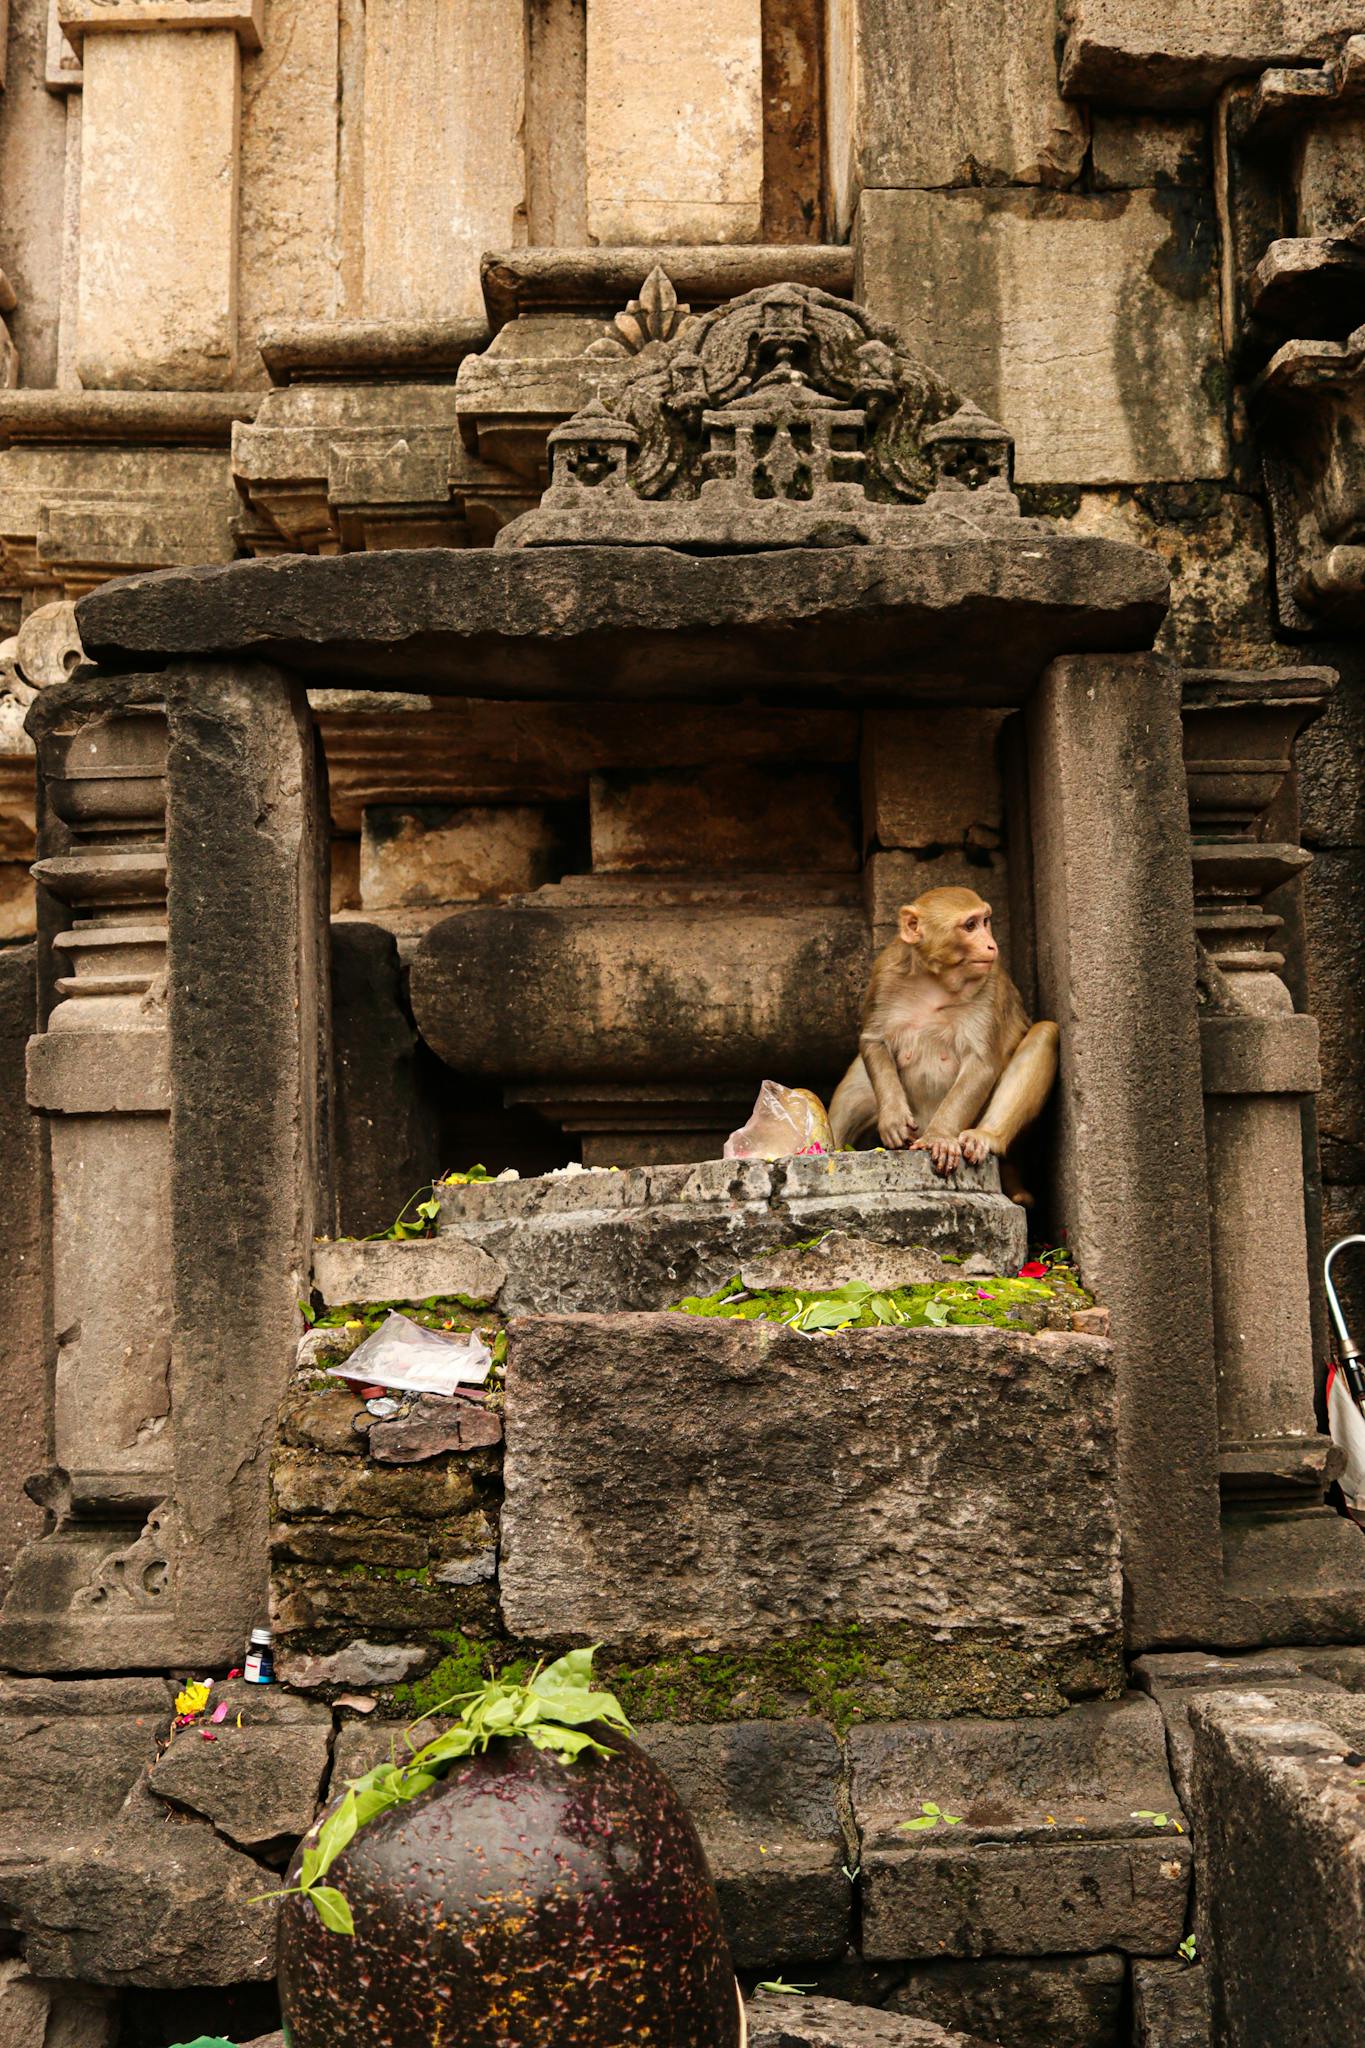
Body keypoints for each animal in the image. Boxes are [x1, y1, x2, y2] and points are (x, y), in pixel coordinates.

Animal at [826, 884, 1064, 1196]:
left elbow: (981, 1064)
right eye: (970, 925)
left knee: (1045, 1033)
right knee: (858, 1075)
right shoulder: (884, 973)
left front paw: (940, 1137)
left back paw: (984, 1136)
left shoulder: (989, 988)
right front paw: (893, 1119)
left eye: (985, 921)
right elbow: (873, 1041)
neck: (935, 979)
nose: (991, 945)